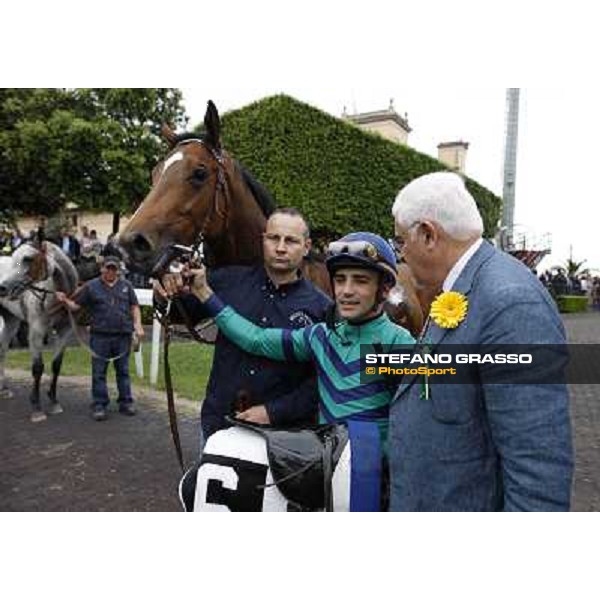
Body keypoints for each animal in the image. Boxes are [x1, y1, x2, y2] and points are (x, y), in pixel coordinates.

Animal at [0, 239, 78, 422]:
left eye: (28, 259)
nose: (3, 288)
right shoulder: (36, 331)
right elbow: (37, 368)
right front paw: (36, 407)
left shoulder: (64, 332)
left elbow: (56, 365)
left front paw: (54, 401)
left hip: (11, 321)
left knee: (2, 349)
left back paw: (4, 389)